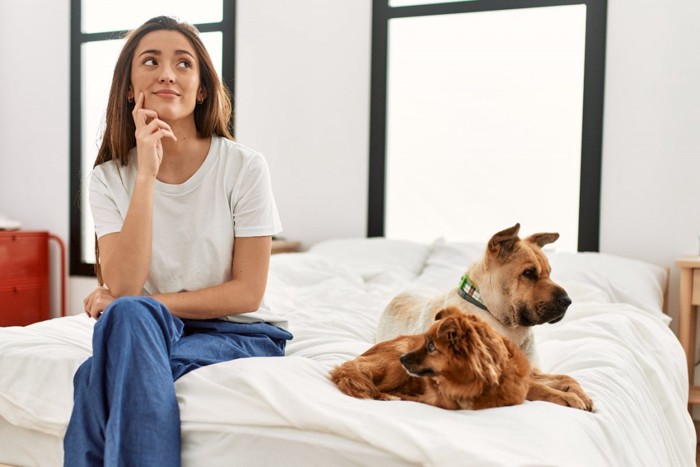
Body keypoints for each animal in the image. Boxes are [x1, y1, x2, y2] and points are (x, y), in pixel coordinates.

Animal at [332, 308, 532, 412]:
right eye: (424, 341)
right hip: (397, 360)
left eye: (430, 347)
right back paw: (387, 396)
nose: (402, 359)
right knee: (375, 387)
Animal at [374, 225, 592, 412]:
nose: (568, 301)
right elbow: (543, 389)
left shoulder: (532, 371)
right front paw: (569, 398)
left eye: (549, 272)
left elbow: (566, 378)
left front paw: (581, 394)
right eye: (529, 273)